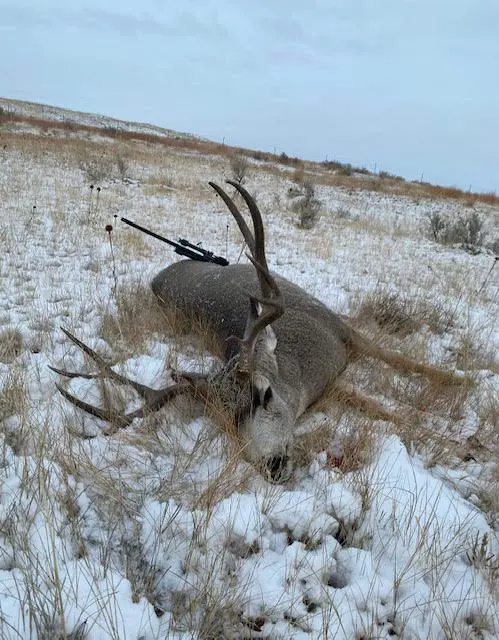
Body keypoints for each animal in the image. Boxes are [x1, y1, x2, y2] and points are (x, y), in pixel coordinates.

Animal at [52, 181, 465, 482]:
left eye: (264, 393)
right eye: (226, 421)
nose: (273, 465)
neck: (306, 363)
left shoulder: (341, 328)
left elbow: (404, 366)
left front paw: (465, 388)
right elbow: (381, 406)